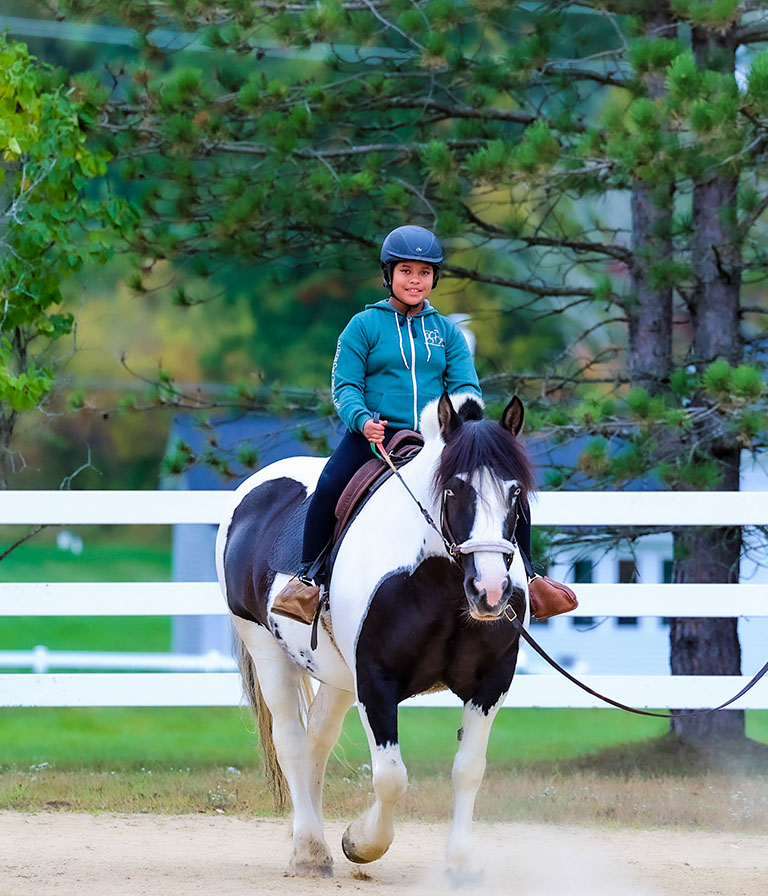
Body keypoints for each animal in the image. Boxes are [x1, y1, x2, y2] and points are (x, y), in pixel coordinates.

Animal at [215, 391, 534, 881]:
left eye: (516, 492)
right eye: (453, 488)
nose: (491, 591)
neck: (436, 579)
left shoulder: (490, 683)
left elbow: (468, 769)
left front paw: (461, 863)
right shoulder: (376, 681)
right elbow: (390, 776)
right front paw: (361, 844)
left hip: (337, 674)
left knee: (317, 739)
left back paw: (308, 836)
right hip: (266, 648)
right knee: (291, 742)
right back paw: (310, 850)